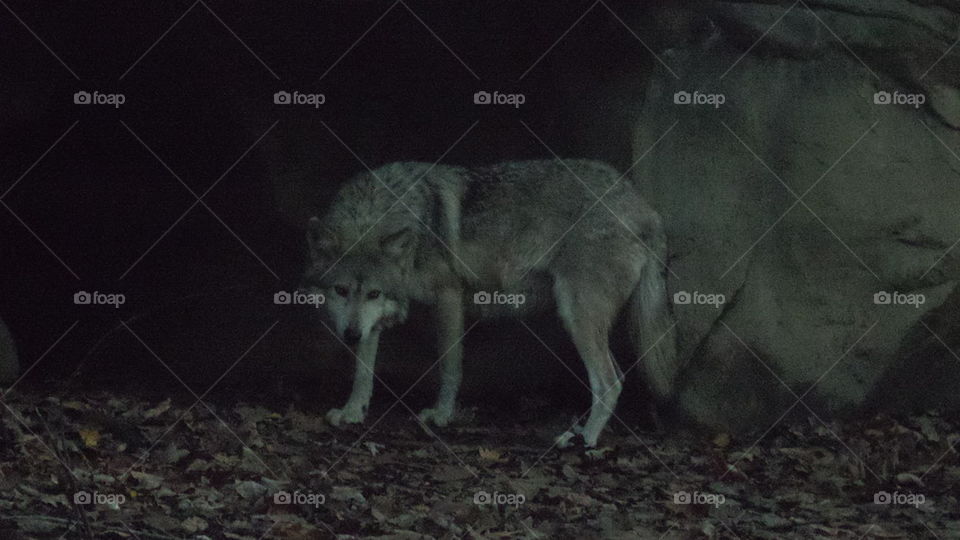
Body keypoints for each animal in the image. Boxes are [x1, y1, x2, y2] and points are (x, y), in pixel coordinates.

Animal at [300, 159, 678, 447]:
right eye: (341, 291)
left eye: (373, 293)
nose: (349, 335)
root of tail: (645, 206)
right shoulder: (372, 322)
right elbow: (363, 370)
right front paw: (352, 412)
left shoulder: (449, 298)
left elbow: (450, 365)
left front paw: (441, 415)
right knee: (616, 377)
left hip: (576, 316)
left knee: (609, 381)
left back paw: (586, 439)